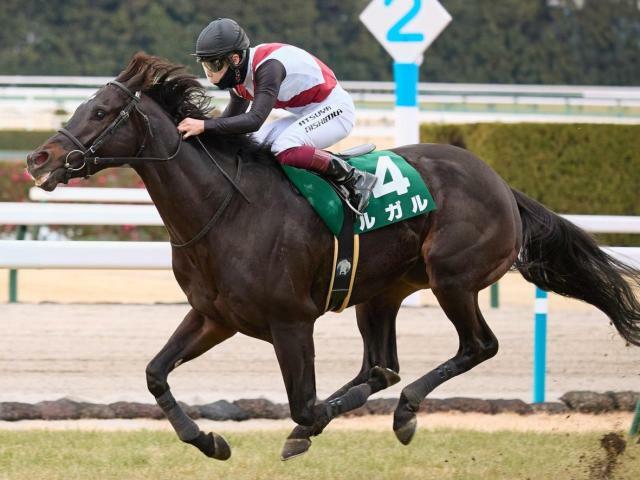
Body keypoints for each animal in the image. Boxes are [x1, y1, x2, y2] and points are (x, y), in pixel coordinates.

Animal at [26, 54, 640, 464]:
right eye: (82, 105)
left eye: (101, 111)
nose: (38, 158)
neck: (224, 210)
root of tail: (500, 183)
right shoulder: (216, 316)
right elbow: (156, 373)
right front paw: (209, 440)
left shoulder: (291, 322)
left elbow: (302, 404)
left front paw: (306, 424)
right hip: (382, 292)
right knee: (382, 365)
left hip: (453, 279)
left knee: (475, 346)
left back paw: (404, 413)